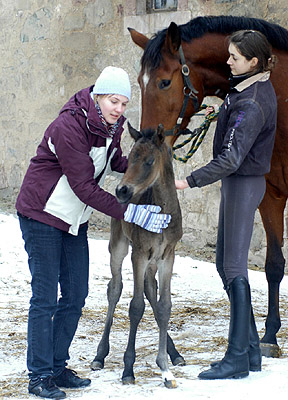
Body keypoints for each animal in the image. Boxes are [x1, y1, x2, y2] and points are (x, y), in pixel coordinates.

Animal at [91, 122, 183, 388]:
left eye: (149, 161)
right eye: (129, 157)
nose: (122, 191)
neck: (162, 211)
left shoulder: (168, 256)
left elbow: (164, 305)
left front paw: (165, 367)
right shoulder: (139, 253)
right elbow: (136, 306)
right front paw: (128, 368)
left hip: (153, 260)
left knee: (150, 287)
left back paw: (175, 354)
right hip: (119, 245)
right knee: (115, 288)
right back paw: (99, 355)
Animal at [129, 16, 288, 360]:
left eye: (164, 82)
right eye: (139, 82)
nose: (148, 141)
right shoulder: (270, 195)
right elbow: (273, 265)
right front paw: (269, 335)